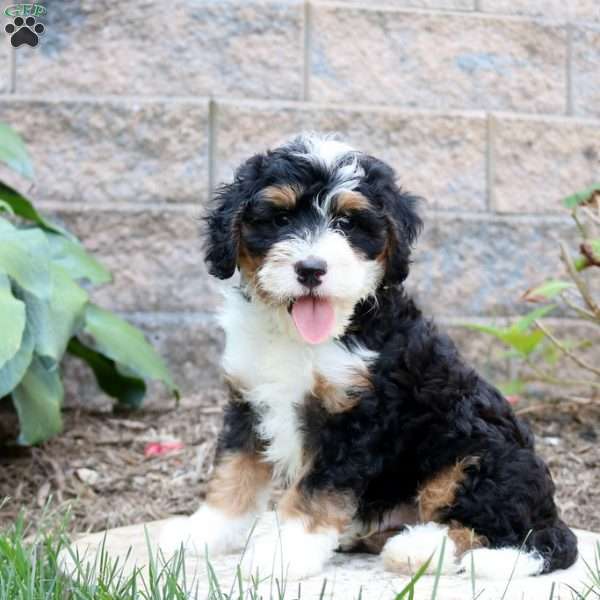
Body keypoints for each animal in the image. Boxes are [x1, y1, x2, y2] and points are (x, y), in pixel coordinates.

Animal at [162, 134, 580, 580]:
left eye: (346, 223)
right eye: (280, 219)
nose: (311, 269)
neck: (302, 336)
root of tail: (550, 513)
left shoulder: (356, 415)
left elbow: (316, 491)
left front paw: (285, 552)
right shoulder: (248, 400)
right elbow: (233, 473)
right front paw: (202, 534)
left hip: (479, 454)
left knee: (499, 531)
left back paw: (419, 548)